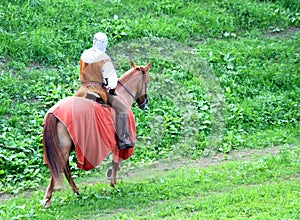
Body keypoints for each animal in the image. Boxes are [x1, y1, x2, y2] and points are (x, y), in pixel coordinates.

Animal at [42, 61, 150, 207]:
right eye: (147, 81)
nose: (145, 103)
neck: (121, 95)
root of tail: (53, 113)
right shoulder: (118, 143)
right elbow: (116, 161)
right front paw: (113, 183)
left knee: (65, 169)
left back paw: (76, 192)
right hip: (64, 148)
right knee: (59, 168)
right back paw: (47, 199)